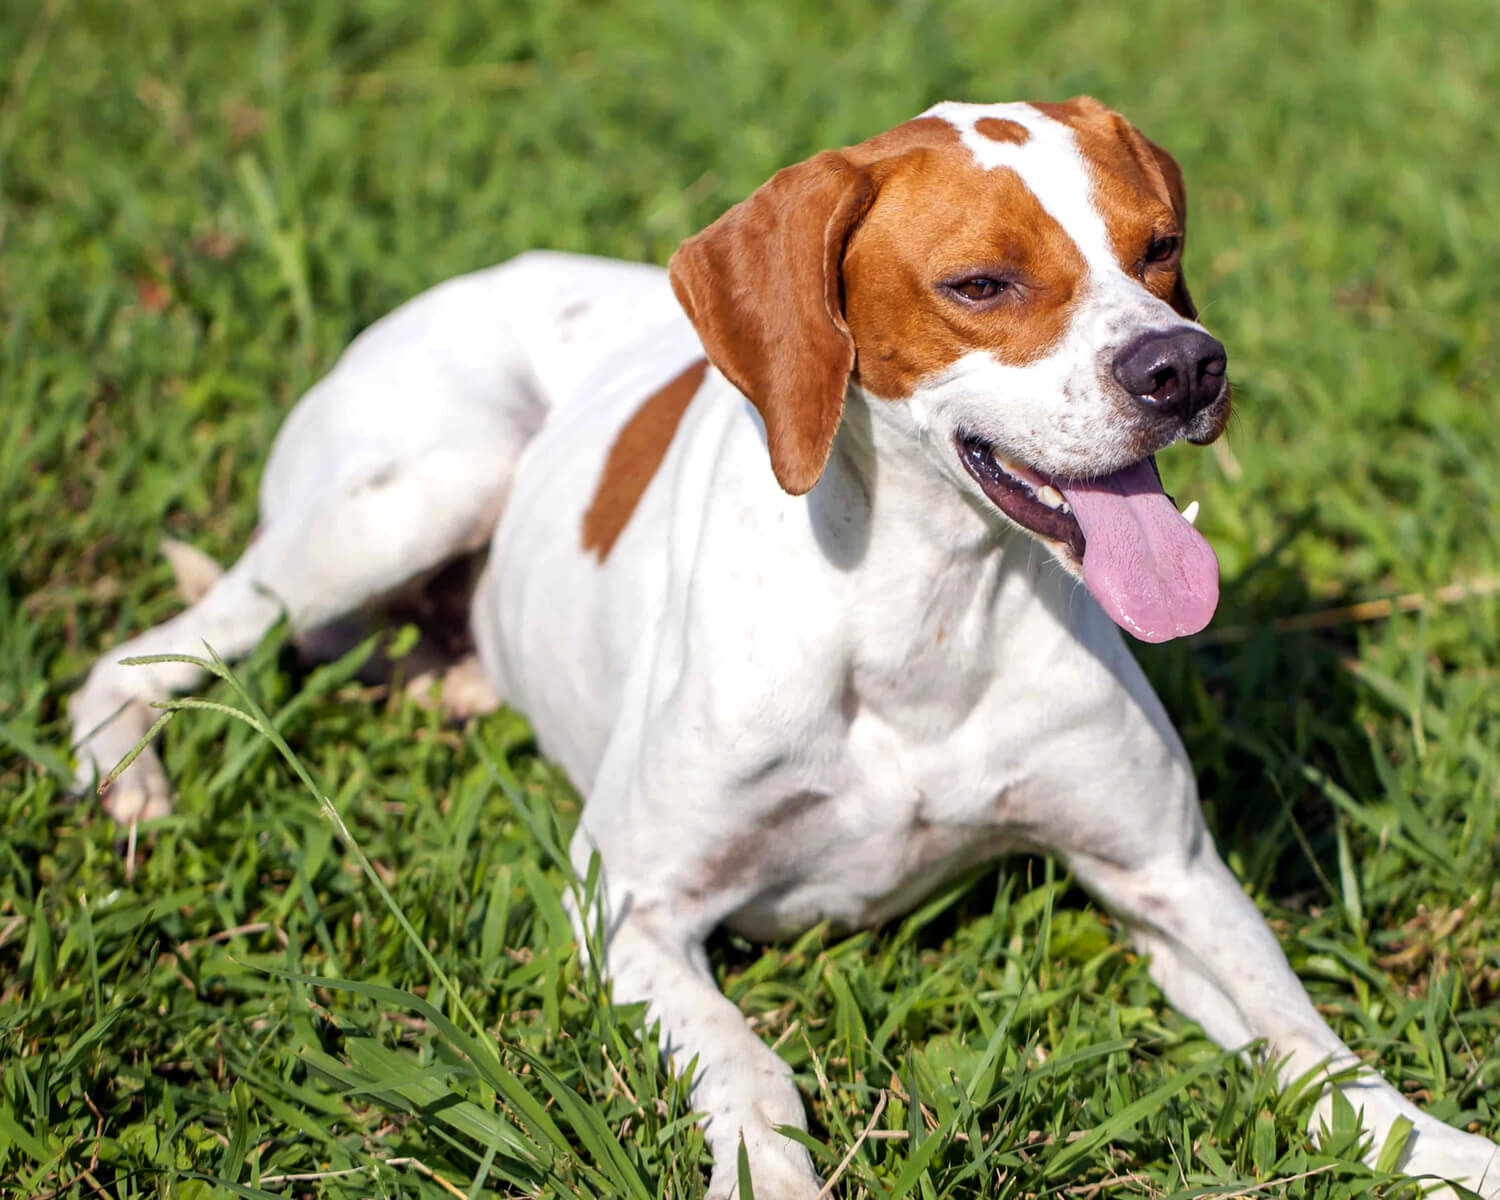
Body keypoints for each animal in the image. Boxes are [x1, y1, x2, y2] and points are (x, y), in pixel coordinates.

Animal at [73, 100, 1500, 1200]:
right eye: (983, 284)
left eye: (1161, 250)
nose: (1185, 367)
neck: (926, 611)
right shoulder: (629, 901)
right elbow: (752, 1067)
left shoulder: (1168, 872)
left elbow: (1313, 1048)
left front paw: (1440, 1150)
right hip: (424, 481)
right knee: (162, 646)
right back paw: (126, 775)